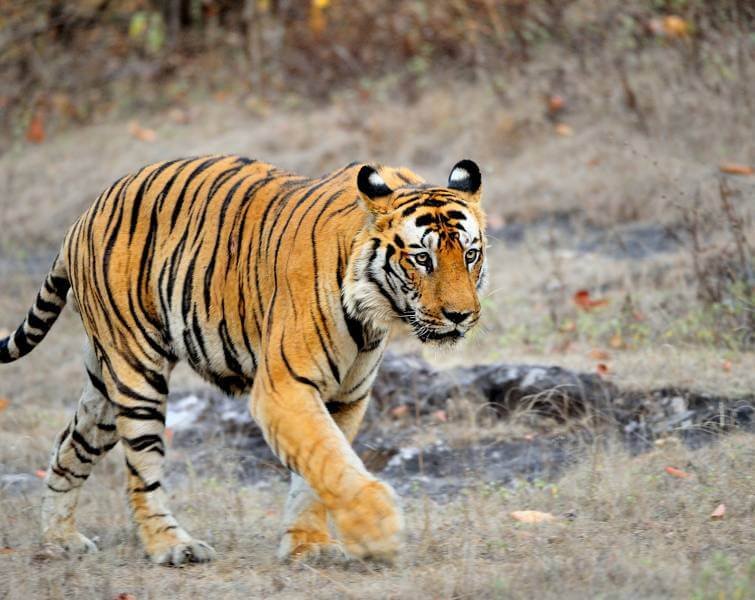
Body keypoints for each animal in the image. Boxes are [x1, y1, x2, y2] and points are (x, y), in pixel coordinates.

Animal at [0, 155, 488, 568]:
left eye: (470, 254)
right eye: (421, 258)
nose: (461, 315)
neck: (373, 311)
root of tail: (82, 217)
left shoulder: (347, 396)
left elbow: (318, 470)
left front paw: (308, 545)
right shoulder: (283, 387)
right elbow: (330, 459)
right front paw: (376, 529)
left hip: (103, 387)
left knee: (69, 447)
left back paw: (59, 539)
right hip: (136, 372)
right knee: (141, 471)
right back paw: (172, 546)